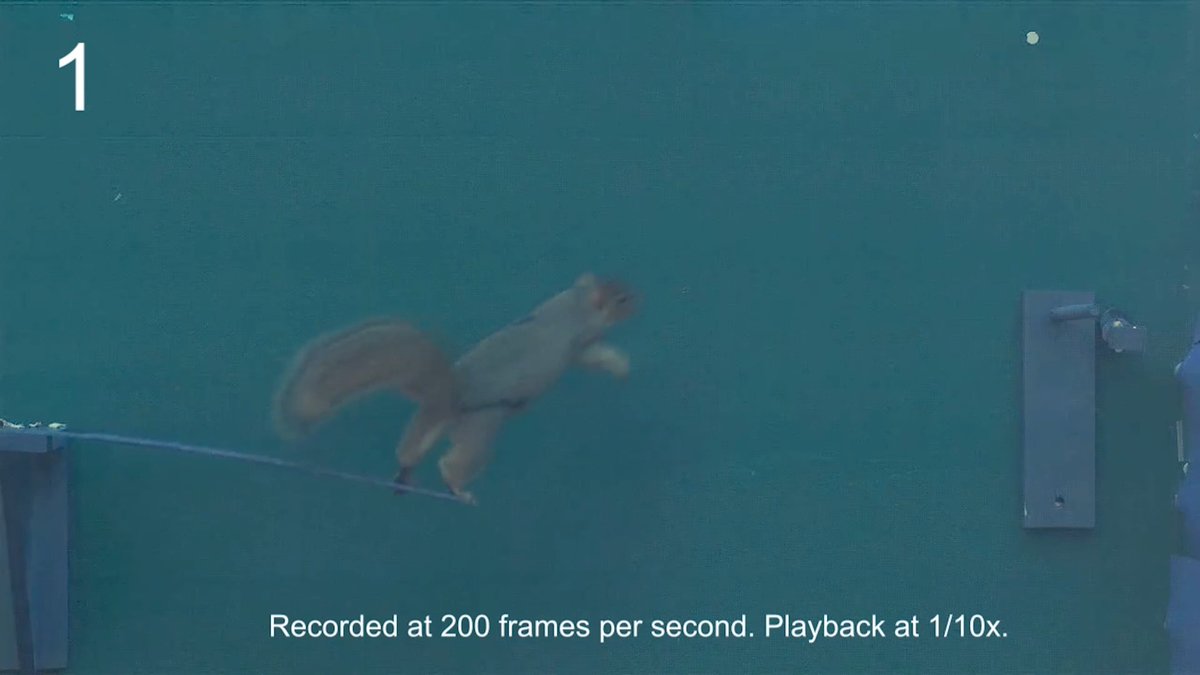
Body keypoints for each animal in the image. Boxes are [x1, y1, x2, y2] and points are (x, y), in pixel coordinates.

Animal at [271, 273, 636, 504]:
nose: (639, 298)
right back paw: (458, 490)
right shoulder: (579, 343)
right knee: (455, 464)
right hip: (482, 425)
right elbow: (596, 358)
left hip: (431, 423)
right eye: (620, 298)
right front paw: (621, 368)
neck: (575, 304)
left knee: (410, 451)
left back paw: (404, 477)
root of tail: (450, 395)